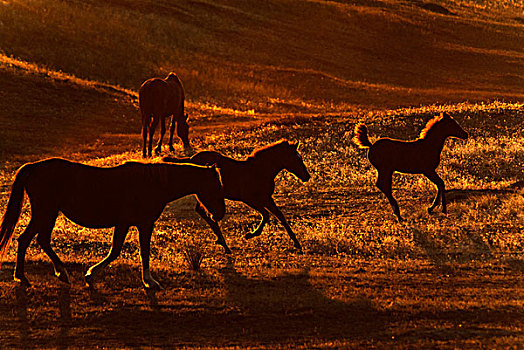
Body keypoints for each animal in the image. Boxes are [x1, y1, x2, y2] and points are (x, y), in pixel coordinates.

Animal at [0, 159, 223, 290]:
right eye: (215, 186)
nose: (220, 213)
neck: (153, 183)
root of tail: (33, 167)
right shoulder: (144, 224)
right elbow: (142, 251)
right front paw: (149, 281)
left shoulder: (124, 223)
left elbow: (115, 251)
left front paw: (90, 275)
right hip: (45, 212)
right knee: (27, 239)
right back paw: (26, 277)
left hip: (48, 213)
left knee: (38, 240)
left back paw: (55, 273)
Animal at [164, 139, 312, 252]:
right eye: (296, 159)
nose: (307, 176)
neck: (261, 170)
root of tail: (191, 159)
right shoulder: (250, 199)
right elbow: (266, 215)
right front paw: (251, 234)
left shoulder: (267, 199)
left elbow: (281, 217)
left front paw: (297, 243)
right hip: (205, 194)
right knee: (205, 212)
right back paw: (222, 242)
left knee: (202, 211)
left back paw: (222, 241)